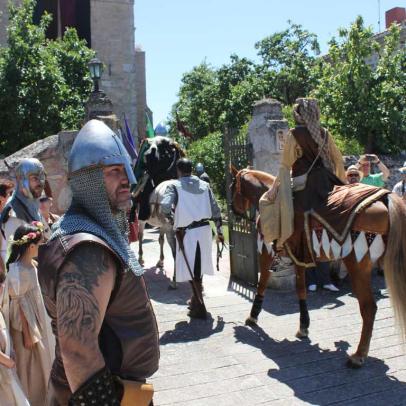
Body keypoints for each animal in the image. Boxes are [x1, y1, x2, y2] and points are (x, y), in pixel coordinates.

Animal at [230, 167, 406, 370]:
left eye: (232, 187)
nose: (233, 210)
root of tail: (386, 198)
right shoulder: (299, 257)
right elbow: (301, 290)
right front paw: (303, 326)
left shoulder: (265, 251)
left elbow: (262, 283)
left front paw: (253, 317)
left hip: (357, 266)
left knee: (368, 308)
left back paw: (358, 355)